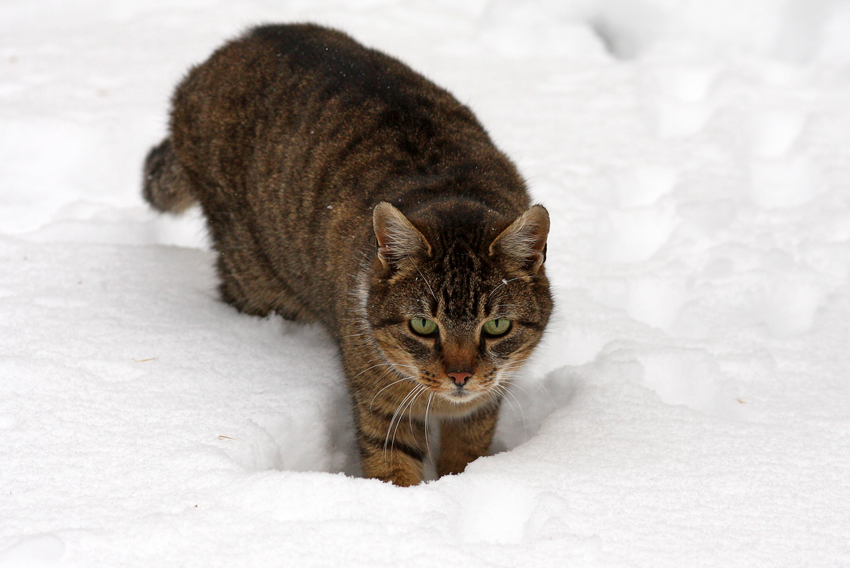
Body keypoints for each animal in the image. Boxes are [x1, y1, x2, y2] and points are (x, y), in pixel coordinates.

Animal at [141, 21, 548, 484]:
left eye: (497, 325)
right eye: (422, 325)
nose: (460, 376)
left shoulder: (482, 407)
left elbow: (467, 452)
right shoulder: (380, 404)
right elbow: (393, 468)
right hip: (255, 277)